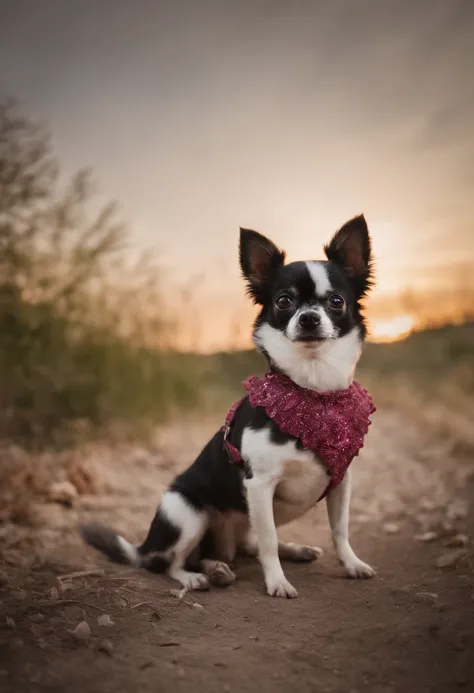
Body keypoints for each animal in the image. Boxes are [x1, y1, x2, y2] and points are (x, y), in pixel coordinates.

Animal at [82, 215, 378, 596]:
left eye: (337, 301)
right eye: (284, 301)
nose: (309, 318)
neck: (312, 392)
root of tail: (144, 546)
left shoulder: (341, 481)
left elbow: (340, 530)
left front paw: (352, 564)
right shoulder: (260, 484)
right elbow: (268, 541)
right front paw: (277, 582)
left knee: (243, 546)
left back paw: (285, 552)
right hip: (185, 512)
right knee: (170, 563)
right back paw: (199, 576)